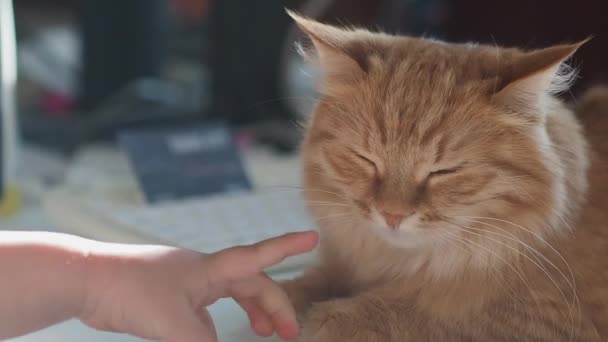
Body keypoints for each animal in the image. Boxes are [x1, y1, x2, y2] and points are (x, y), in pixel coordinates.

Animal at [282, 10, 608, 342]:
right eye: (366, 160)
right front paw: (285, 297)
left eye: (444, 171)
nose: (392, 215)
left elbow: (416, 312)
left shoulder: (541, 318)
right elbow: (313, 280)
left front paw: (322, 316)